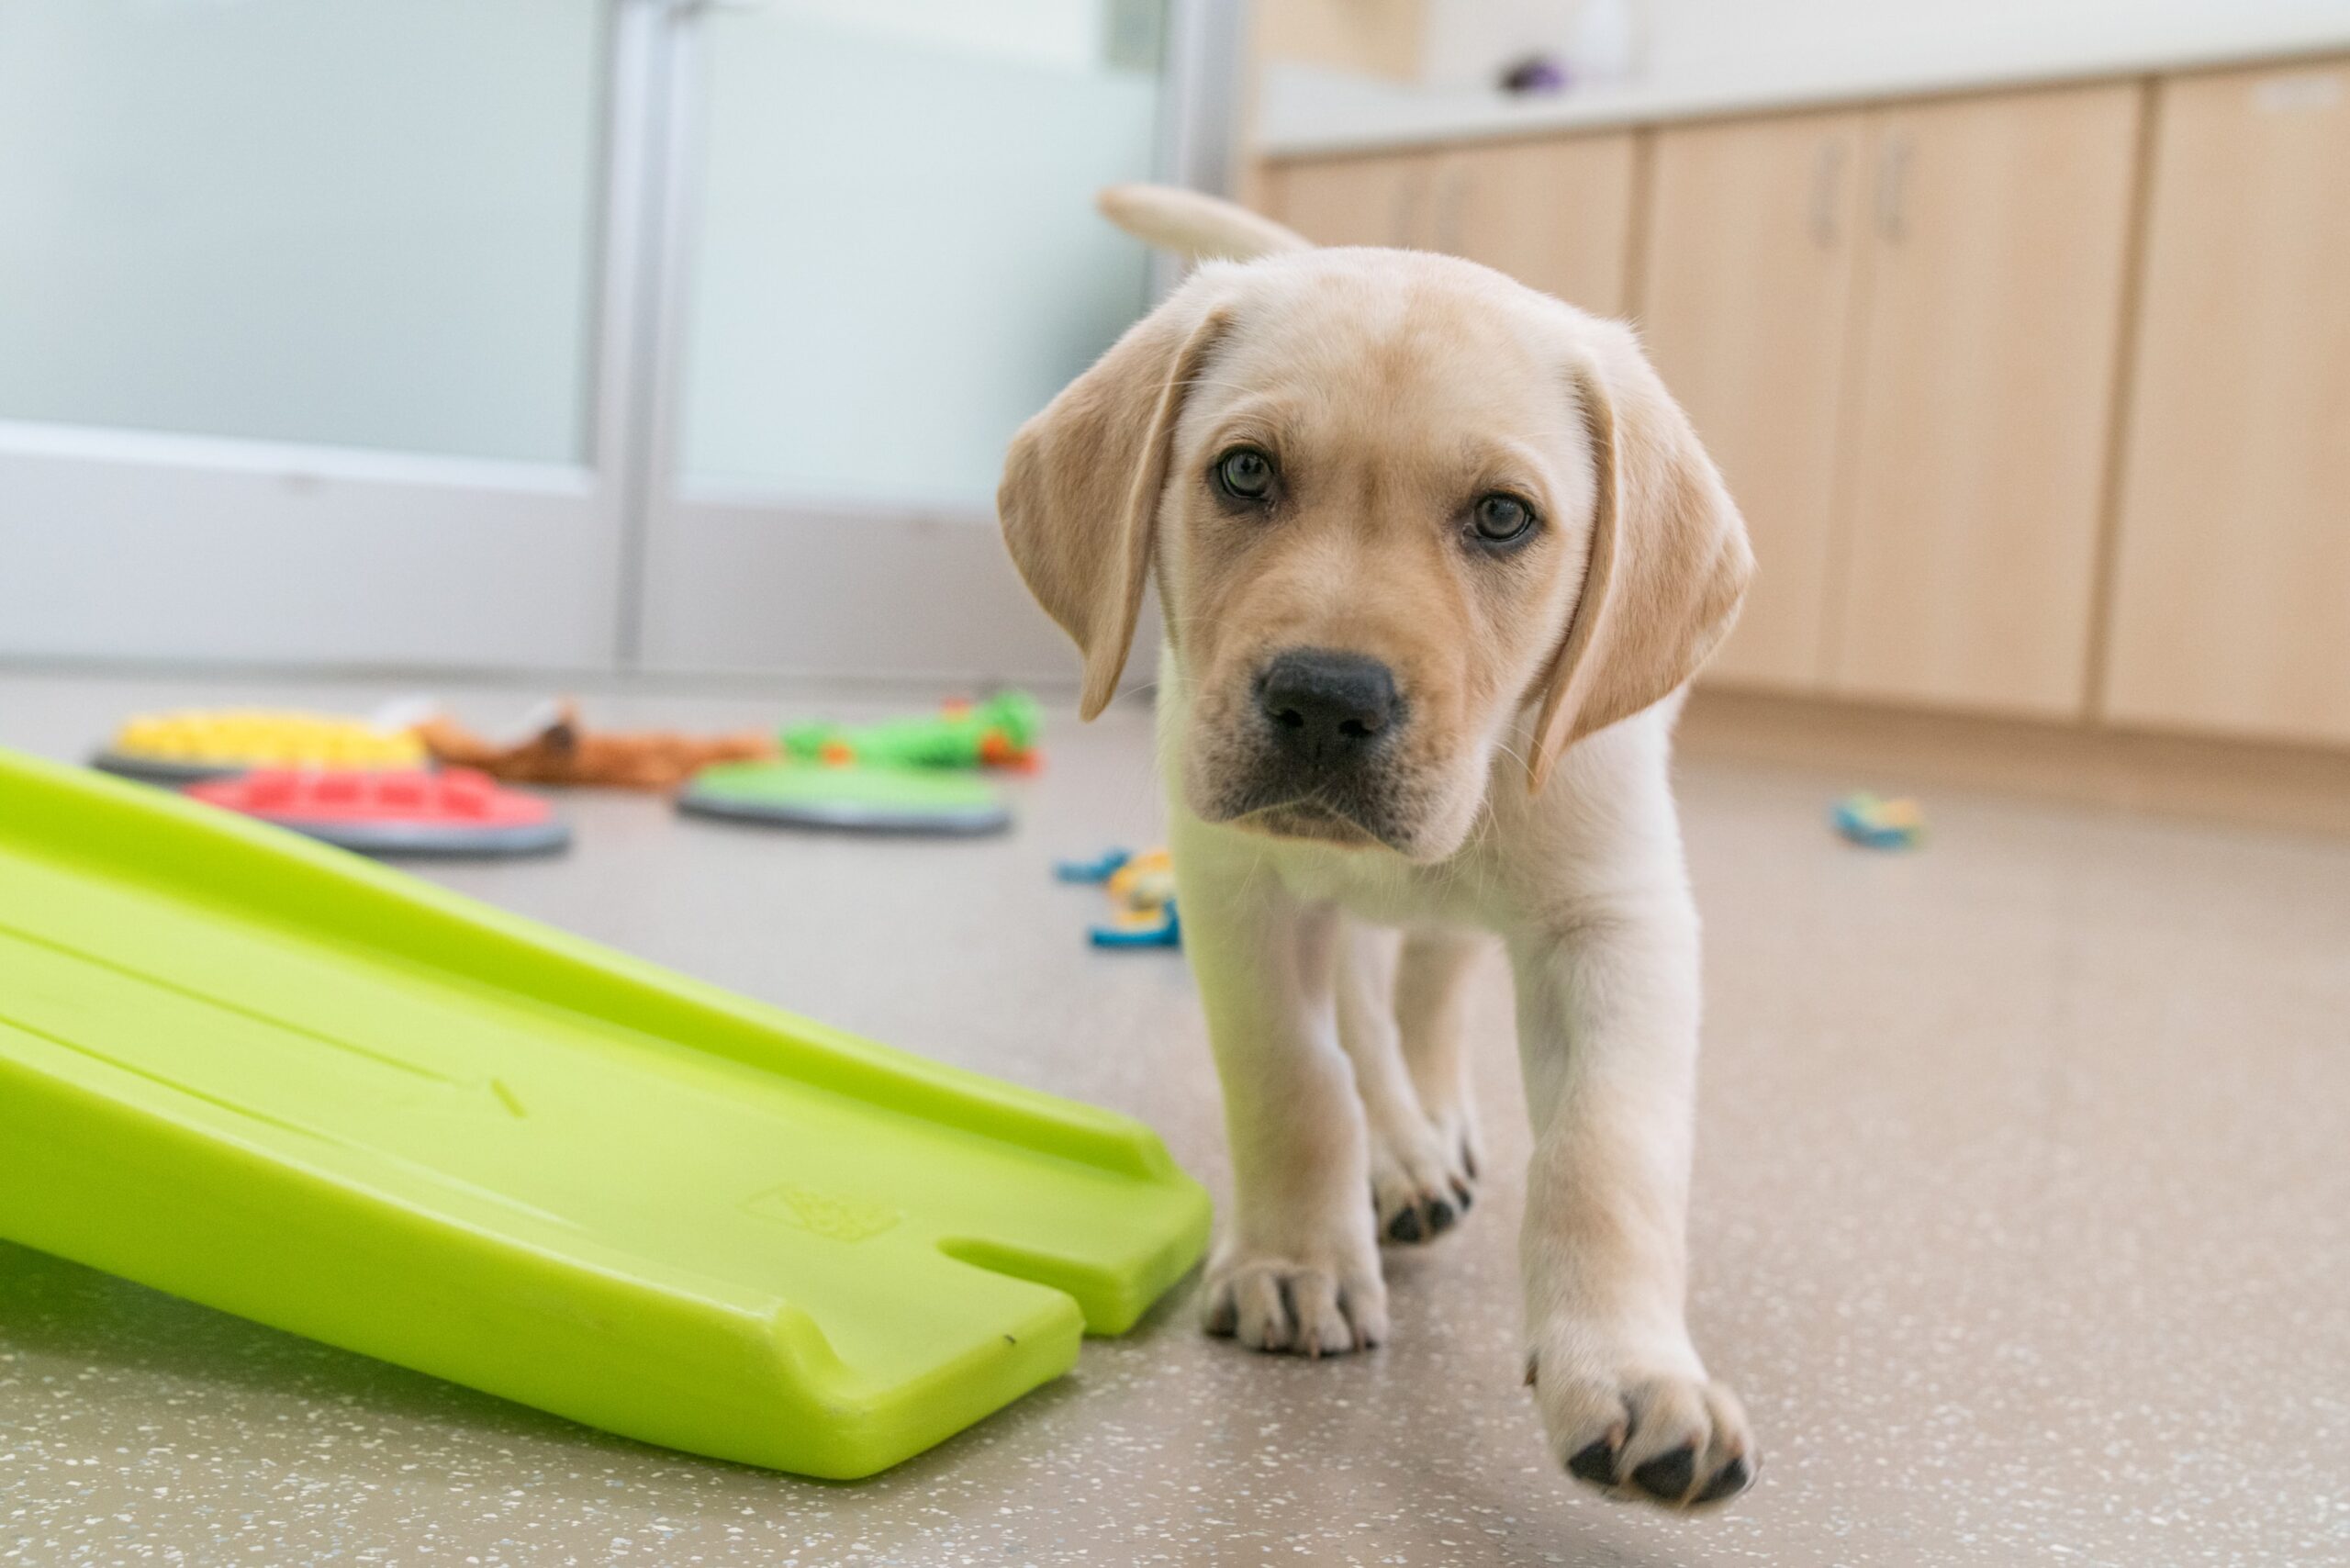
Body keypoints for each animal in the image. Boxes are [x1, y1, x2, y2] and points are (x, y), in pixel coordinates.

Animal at [1001, 185, 1757, 1504]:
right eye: (1245, 473)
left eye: (1503, 517)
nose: (1324, 700)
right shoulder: (1239, 885)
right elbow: (1296, 1080)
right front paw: (1299, 1259)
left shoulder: (1614, 917)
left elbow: (1606, 1149)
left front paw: (1628, 1370)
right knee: (1367, 1013)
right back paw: (1399, 1156)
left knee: (1433, 980)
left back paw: (1430, 1129)